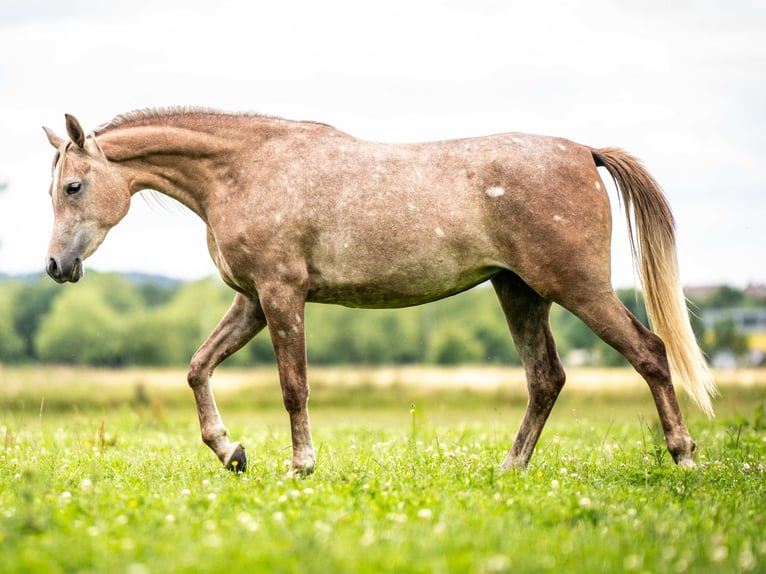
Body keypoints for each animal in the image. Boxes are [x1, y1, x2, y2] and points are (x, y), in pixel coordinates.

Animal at [42, 108, 716, 474]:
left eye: (73, 186)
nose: (54, 265)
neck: (242, 170)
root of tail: (585, 152)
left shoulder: (281, 295)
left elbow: (293, 387)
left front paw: (301, 465)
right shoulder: (253, 301)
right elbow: (197, 367)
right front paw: (230, 450)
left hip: (577, 288)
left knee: (649, 353)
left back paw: (683, 455)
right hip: (519, 292)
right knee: (546, 378)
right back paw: (510, 467)